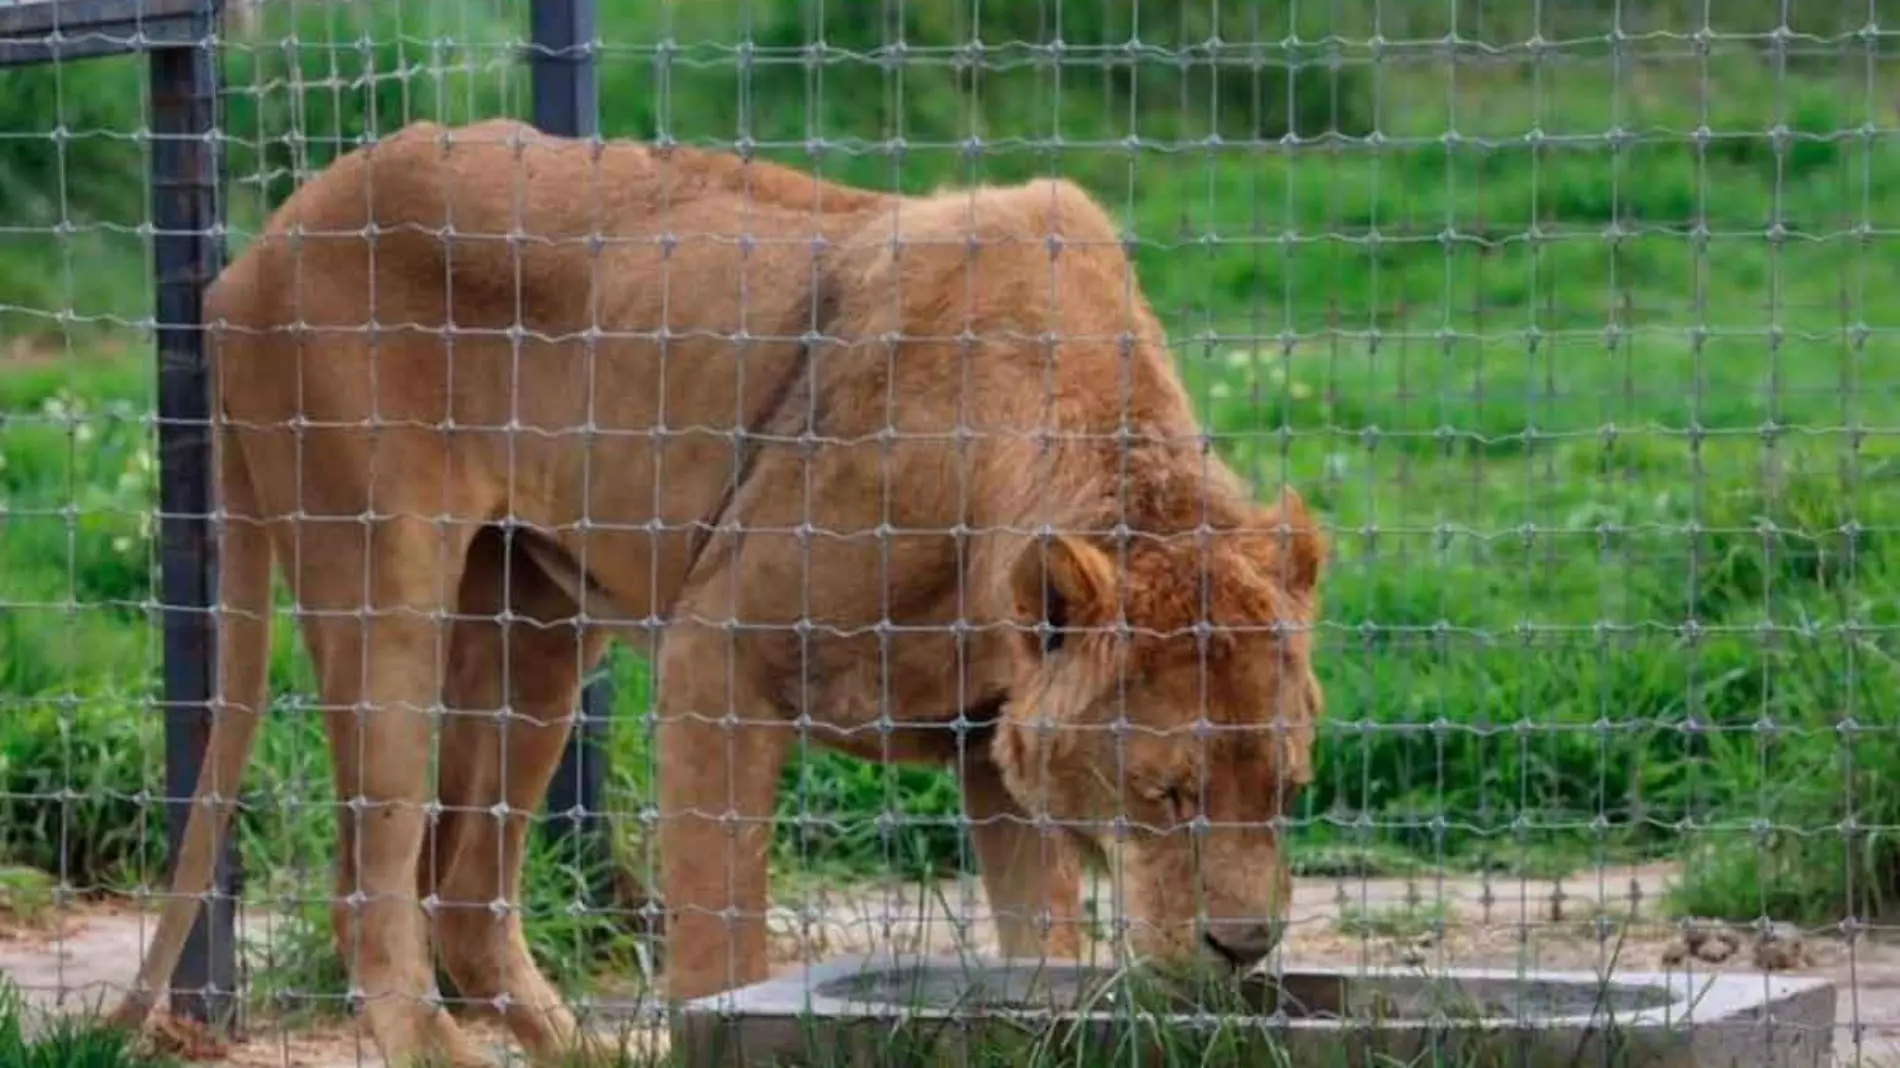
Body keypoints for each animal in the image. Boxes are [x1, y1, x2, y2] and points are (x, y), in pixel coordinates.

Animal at [104, 118, 1322, 1064]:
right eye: (1167, 793)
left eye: (1287, 788)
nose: (1245, 949)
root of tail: (258, 248)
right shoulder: (715, 657)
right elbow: (720, 947)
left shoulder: (988, 748)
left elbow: (1040, 954)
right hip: (381, 583)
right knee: (374, 892)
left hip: (536, 623)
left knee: (463, 896)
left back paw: (585, 1054)